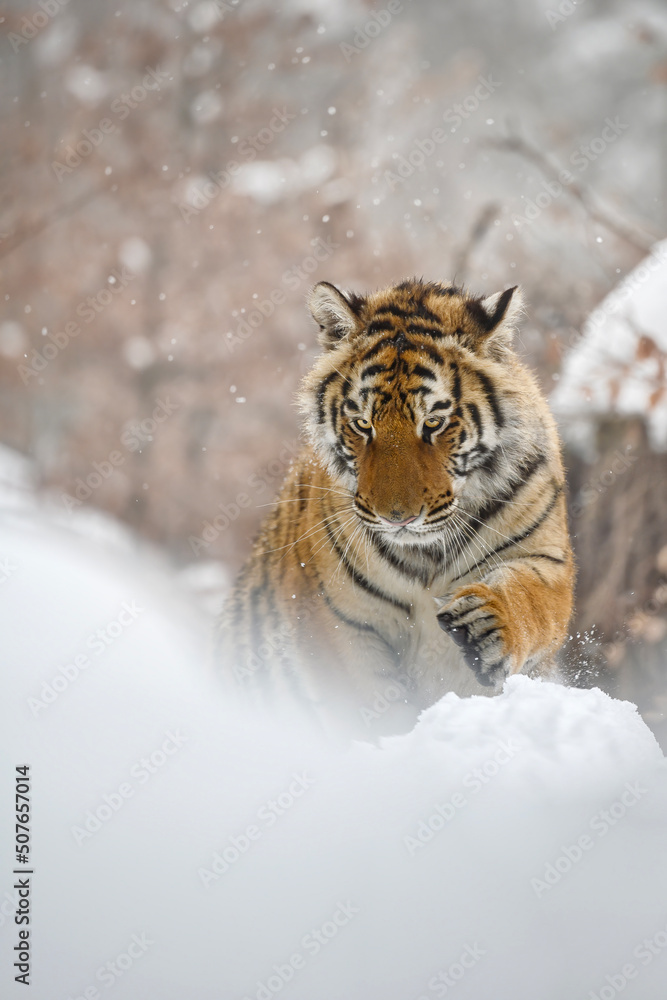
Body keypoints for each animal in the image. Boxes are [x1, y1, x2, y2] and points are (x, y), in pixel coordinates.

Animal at [216, 277, 574, 731]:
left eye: (434, 422)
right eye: (363, 424)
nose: (397, 518)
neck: (427, 558)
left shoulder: (547, 556)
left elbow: (533, 597)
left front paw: (489, 619)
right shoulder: (338, 621)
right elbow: (366, 705)